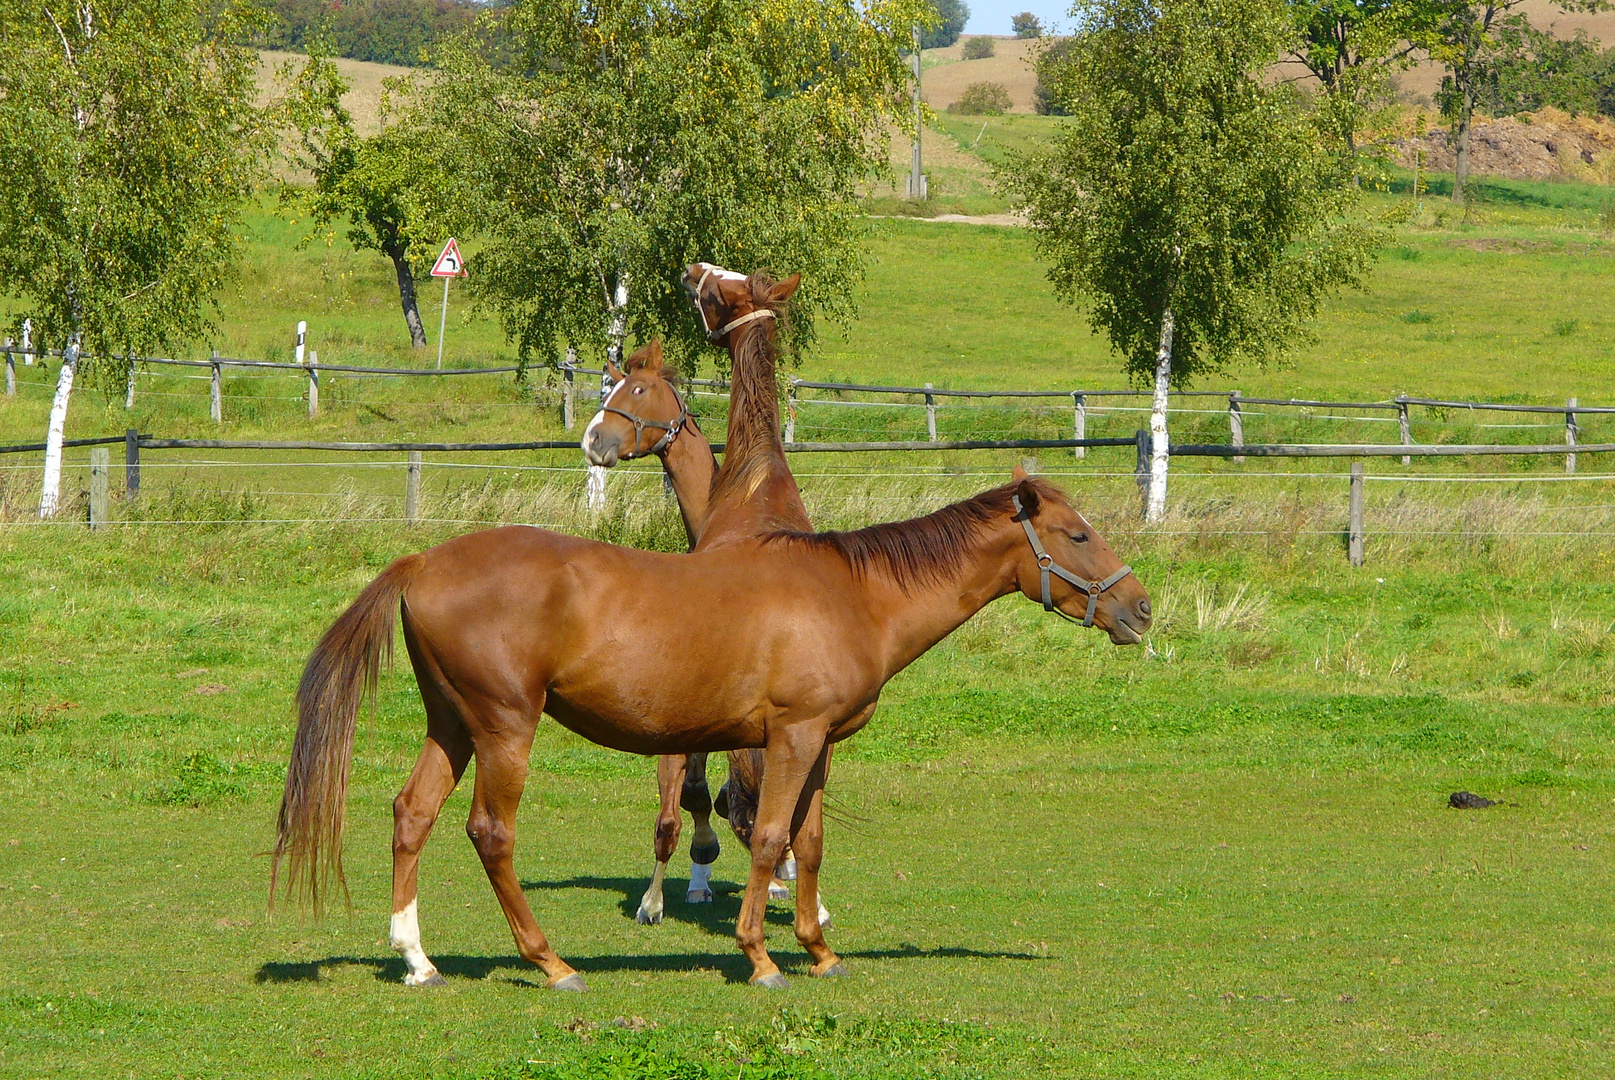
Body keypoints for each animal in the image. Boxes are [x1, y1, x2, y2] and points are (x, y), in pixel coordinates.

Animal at [271, 471, 1149, 987]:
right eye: (1076, 535)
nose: (1139, 610)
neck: (854, 595)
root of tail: (421, 562)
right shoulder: (790, 738)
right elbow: (767, 840)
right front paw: (760, 957)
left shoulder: (819, 745)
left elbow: (809, 845)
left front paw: (819, 950)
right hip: (502, 730)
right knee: (490, 834)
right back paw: (549, 962)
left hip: (451, 726)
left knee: (411, 816)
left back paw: (417, 959)